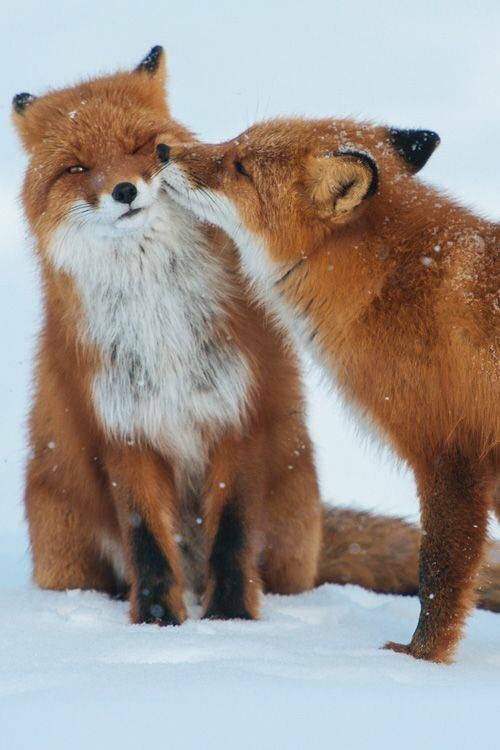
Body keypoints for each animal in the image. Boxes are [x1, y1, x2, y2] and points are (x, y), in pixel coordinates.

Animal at [11, 46, 462, 625]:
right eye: (76, 168)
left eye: (141, 147)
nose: (125, 191)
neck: (160, 321)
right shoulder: (125, 430)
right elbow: (147, 541)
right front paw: (157, 625)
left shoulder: (240, 413)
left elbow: (232, 533)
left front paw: (230, 621)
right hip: (64, 547)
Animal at [158, 117, 500, 660]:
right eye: (236, 140)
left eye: (240, 167)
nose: (163, 150)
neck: (393, 284)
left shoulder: (451, 453)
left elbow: (438, 574)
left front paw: (421, 658)